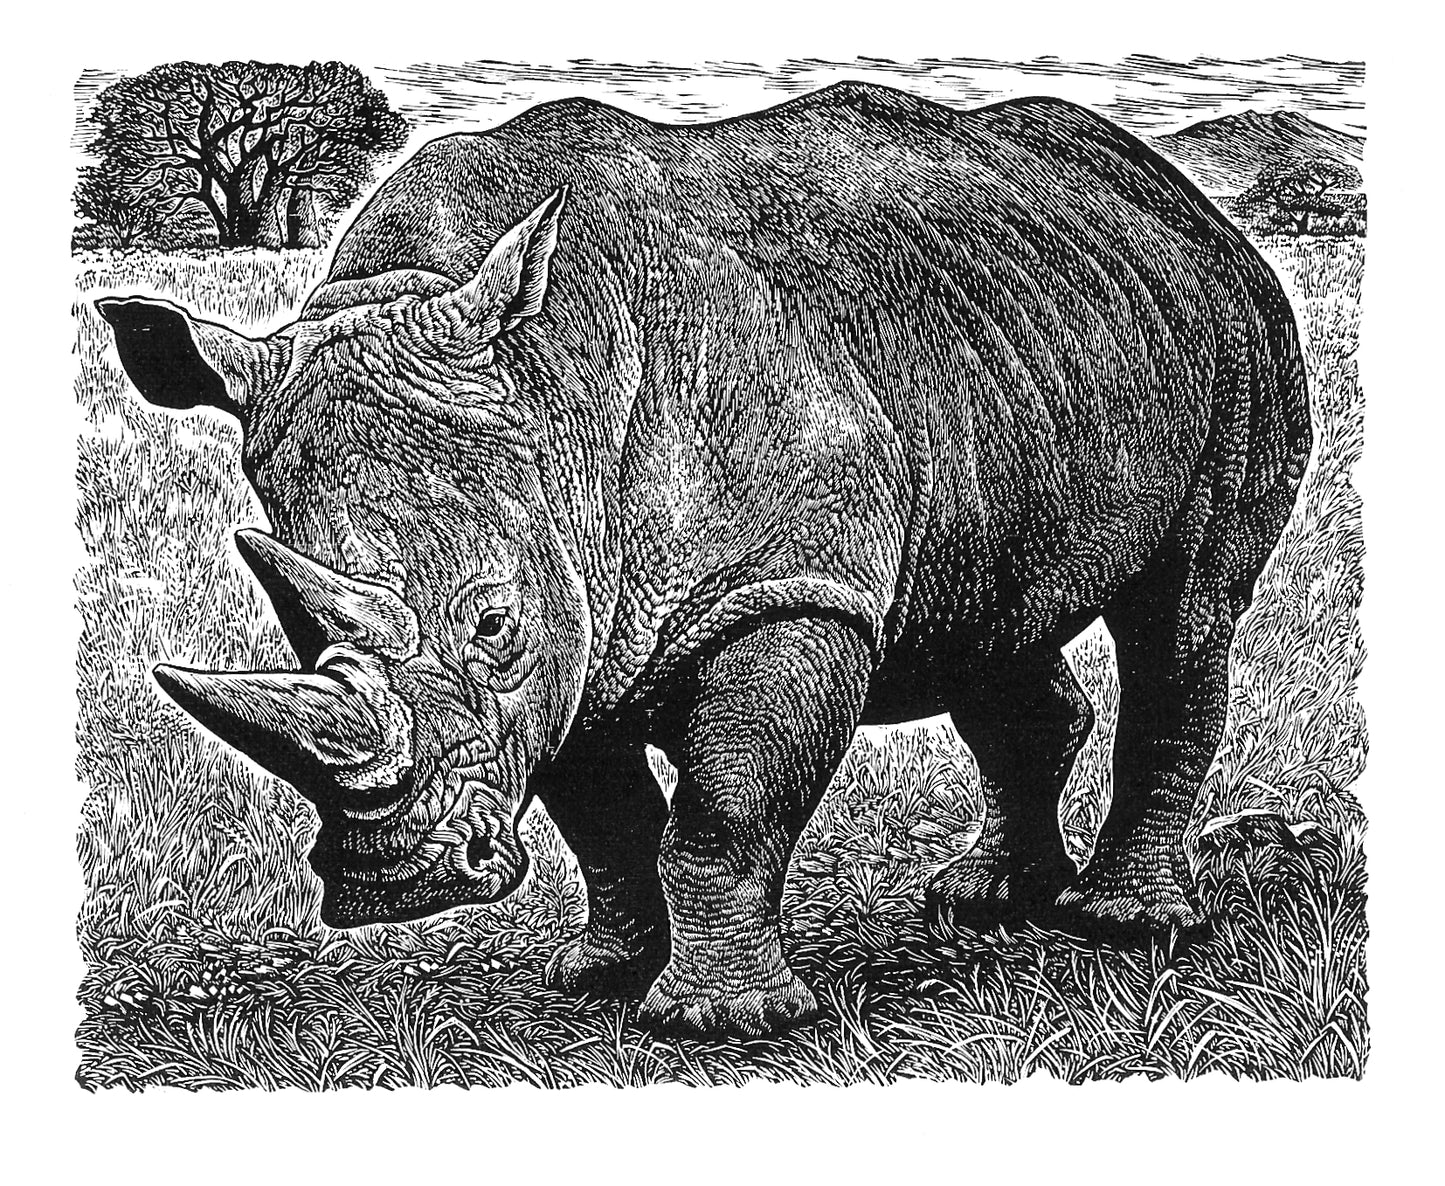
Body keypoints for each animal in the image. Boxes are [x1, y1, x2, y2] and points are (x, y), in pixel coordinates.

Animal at [98, 82, 1310, 1038]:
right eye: (294, 626)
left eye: (494, 627)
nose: (393, 883)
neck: (548, 388)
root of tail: (1181, 199)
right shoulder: (586, 610)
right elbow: (603, 812)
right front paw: (598, 974)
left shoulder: (779, 590)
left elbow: (723, 813)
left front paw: (719, 1021)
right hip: (1017, 359)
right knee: (989, 621)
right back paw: (977, 902)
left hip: (1239, 327)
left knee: (1182, 612)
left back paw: (1123, 926)